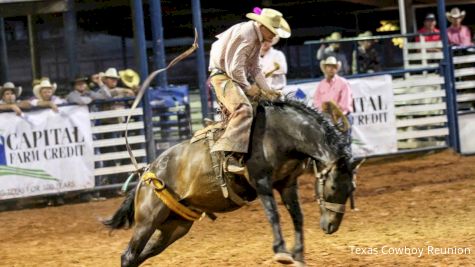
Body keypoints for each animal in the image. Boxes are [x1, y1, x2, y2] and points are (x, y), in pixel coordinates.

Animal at [104, 100, 360, 267]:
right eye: (333, 187)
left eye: (351, 190)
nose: (331, 226)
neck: (281, 133)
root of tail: (147, 172)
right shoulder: (261, 181)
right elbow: (274, 215)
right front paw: (281, 252)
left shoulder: (287, 184)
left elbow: (297, 216)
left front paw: (299, 255)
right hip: (147, 220)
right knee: (128, 256)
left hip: (175, 226)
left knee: (138, 257)